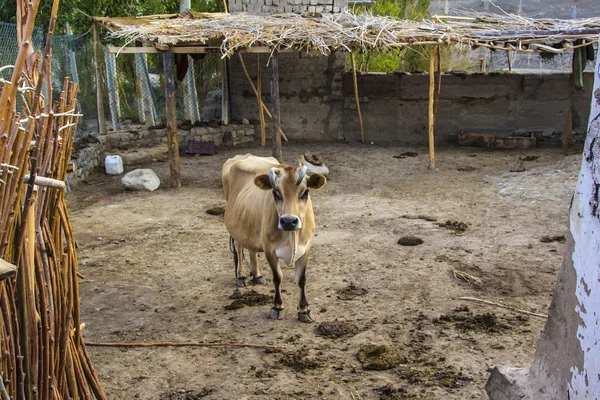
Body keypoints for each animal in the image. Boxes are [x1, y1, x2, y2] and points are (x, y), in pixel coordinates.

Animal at [221, 153, 326, 322]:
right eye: (276, 193)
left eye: (305, 192)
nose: (288, 221)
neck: (292, 236)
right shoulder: (270, 249)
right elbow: (277, 277)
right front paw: (277, 307)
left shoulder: (306, 247)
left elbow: (301, 279)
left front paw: (304, 310)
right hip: (235, 227)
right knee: (239, 246)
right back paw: (241, 276)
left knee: (251, 248)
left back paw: (257, 275)